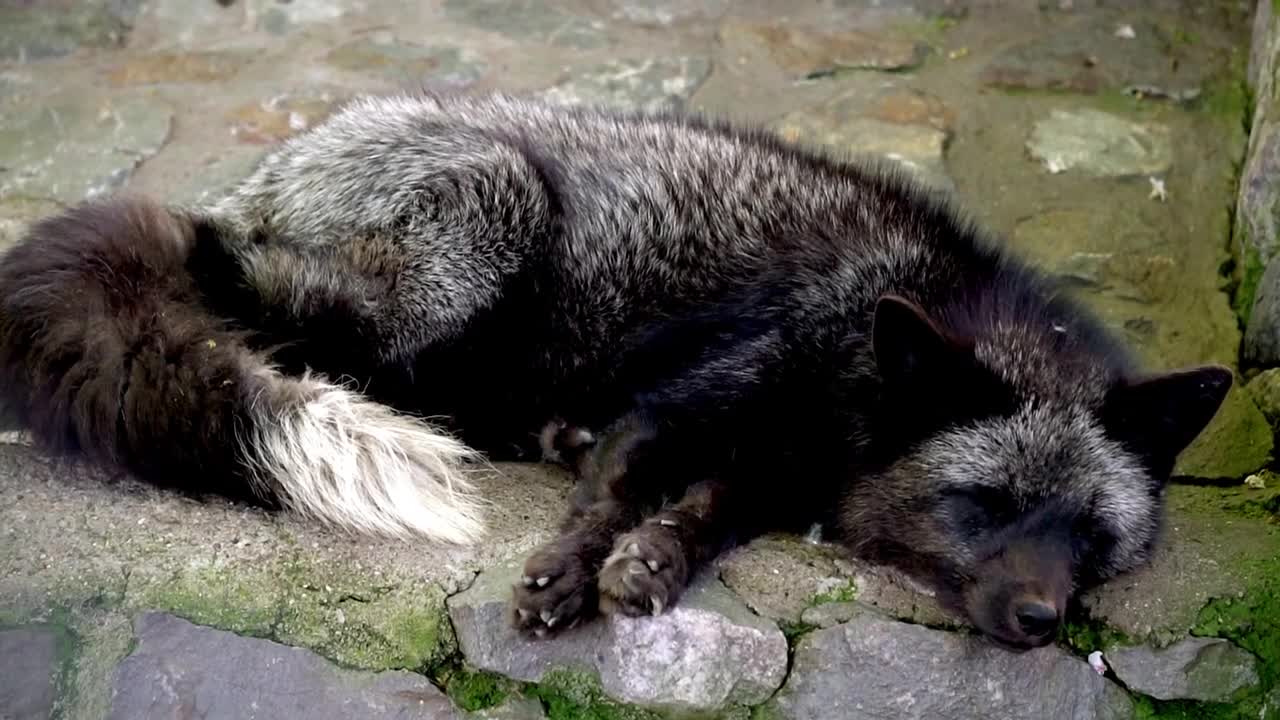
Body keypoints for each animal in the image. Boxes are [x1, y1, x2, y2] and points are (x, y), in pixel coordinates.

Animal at [2, 89, 1239, 645]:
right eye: (983, 503)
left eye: (1087, 535)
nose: (1038, 620)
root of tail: (284, 161)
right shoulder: (678, 405)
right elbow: (618, 487)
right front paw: (565, 570)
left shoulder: (777, 469)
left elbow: (704, 514)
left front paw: (654, 561)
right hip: (480, 220)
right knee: (257, 311)